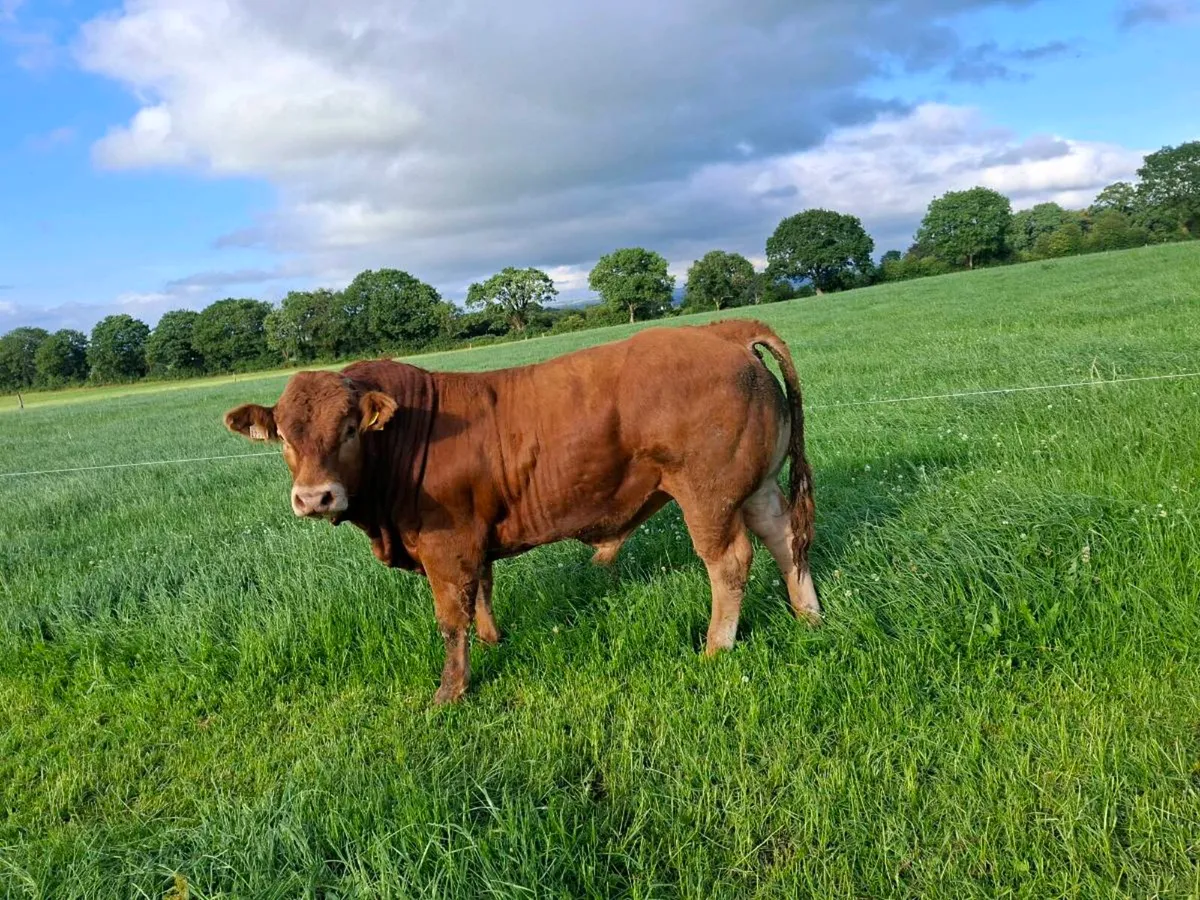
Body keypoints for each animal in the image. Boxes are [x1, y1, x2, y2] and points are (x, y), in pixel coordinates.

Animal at [224, 319, 819, 704]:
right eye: (284, 438)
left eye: (349, 429)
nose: (314, 498)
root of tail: (720, 330)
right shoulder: (475, 536)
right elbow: (483, 590)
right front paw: (494, 640)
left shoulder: (446, 545)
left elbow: (451, 620)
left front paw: (450, 692)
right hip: (758, 486)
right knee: (785, 538)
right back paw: (808, 615)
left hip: (707, 495)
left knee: (730, 562)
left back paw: (716, 648)